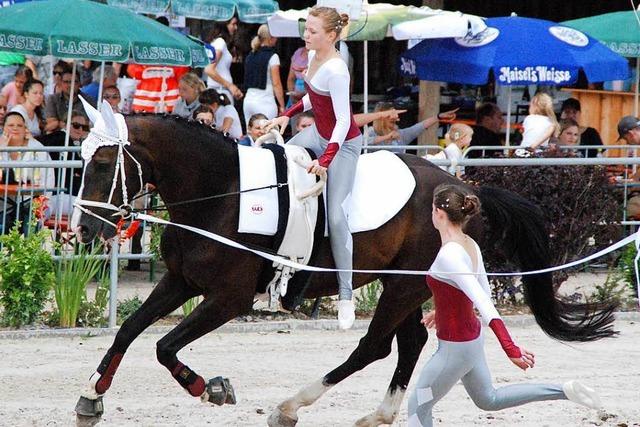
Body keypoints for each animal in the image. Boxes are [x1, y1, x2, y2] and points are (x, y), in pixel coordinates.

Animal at [72, 115, 616, 426]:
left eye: (101, 165)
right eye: (80, 161)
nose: (84, 229)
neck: (223, 191)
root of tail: (466, 189)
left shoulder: (229, 298)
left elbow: (164, 346)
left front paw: (208, 387)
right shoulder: (181, 280)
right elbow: (129, 330)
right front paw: (91, 397)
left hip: (406, 287)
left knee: (374, 346)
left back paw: (291, 406)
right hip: (406, 286)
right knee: (411, 342)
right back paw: (381, 413)